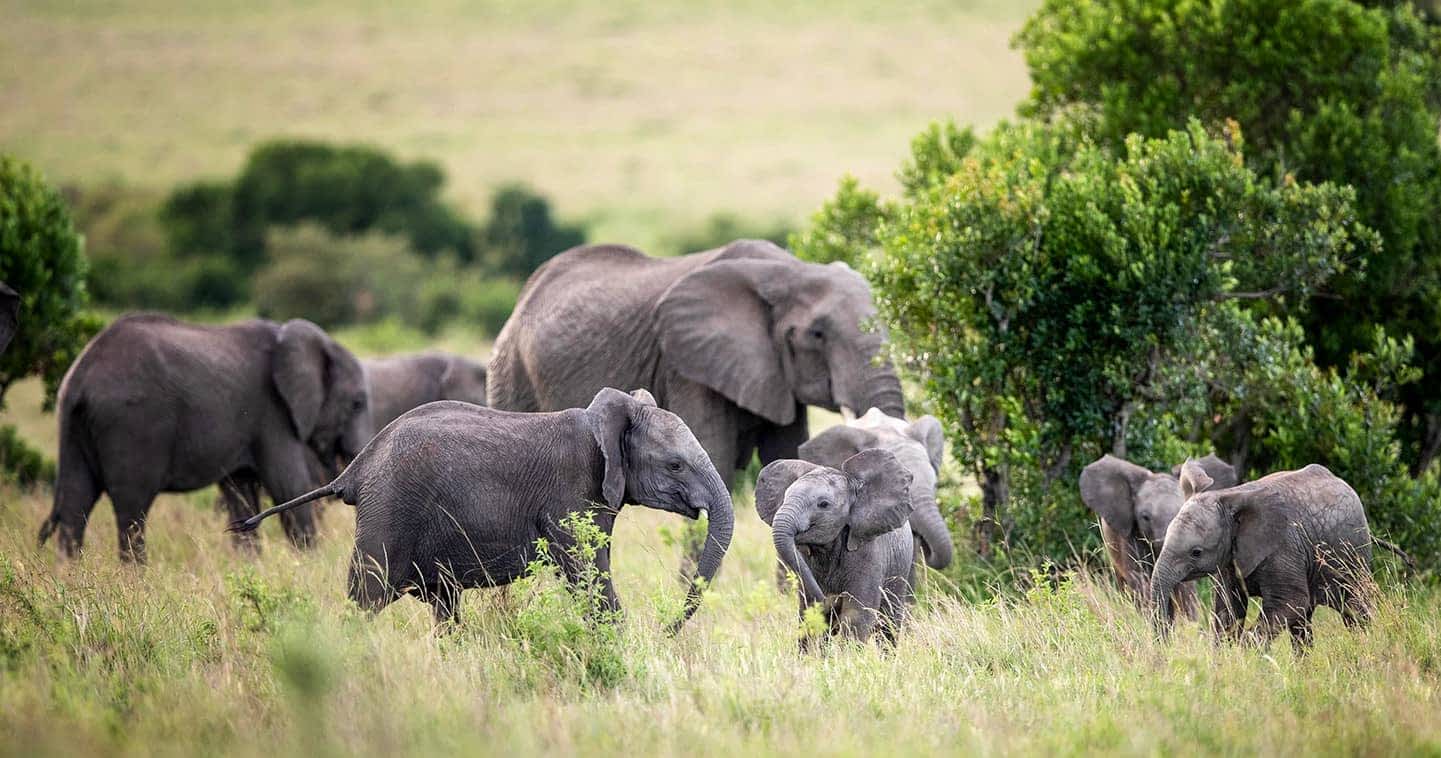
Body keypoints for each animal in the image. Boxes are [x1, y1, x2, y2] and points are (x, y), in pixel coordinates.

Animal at [38, 314, 373, 562]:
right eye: (357, 403)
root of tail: (80, 375)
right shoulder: (273, 412)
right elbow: (288, 484)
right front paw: (309, 562)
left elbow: (241, 495)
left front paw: (250, 565)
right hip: (131, 425)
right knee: (131, 507)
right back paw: (134, 578)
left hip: (75, 428)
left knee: (76, 502)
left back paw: (70, 574)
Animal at [228, 388, 734, 631]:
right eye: (675, 464)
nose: (667, 629)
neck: (600, 423)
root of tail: (354, 471)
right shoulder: (570, 494)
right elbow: (588, 575)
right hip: (389, 511)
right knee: (366, 596)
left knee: (443, 607)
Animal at [486, 239, 905, 489]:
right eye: (817, 335)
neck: (789, 270)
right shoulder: (687, 367)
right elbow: (712, 461)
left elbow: (786, 462)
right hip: (512, 376)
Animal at [755, 449, 915, 646]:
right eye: (784, 497)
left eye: (823, 504)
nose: (829, 599)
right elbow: (808, 614)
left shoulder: (869, 553)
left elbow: (856, 615)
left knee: (888, 622)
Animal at [1152, 460, 1375, 647]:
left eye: (1196, 553)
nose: (1165, 646)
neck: (1229, 497)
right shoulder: (1229, 557)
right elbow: (1228, 610)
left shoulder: (1284, 548)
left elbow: (1290, 602)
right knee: (1303, 622)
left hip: (1354, 553)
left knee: (1354, 607)